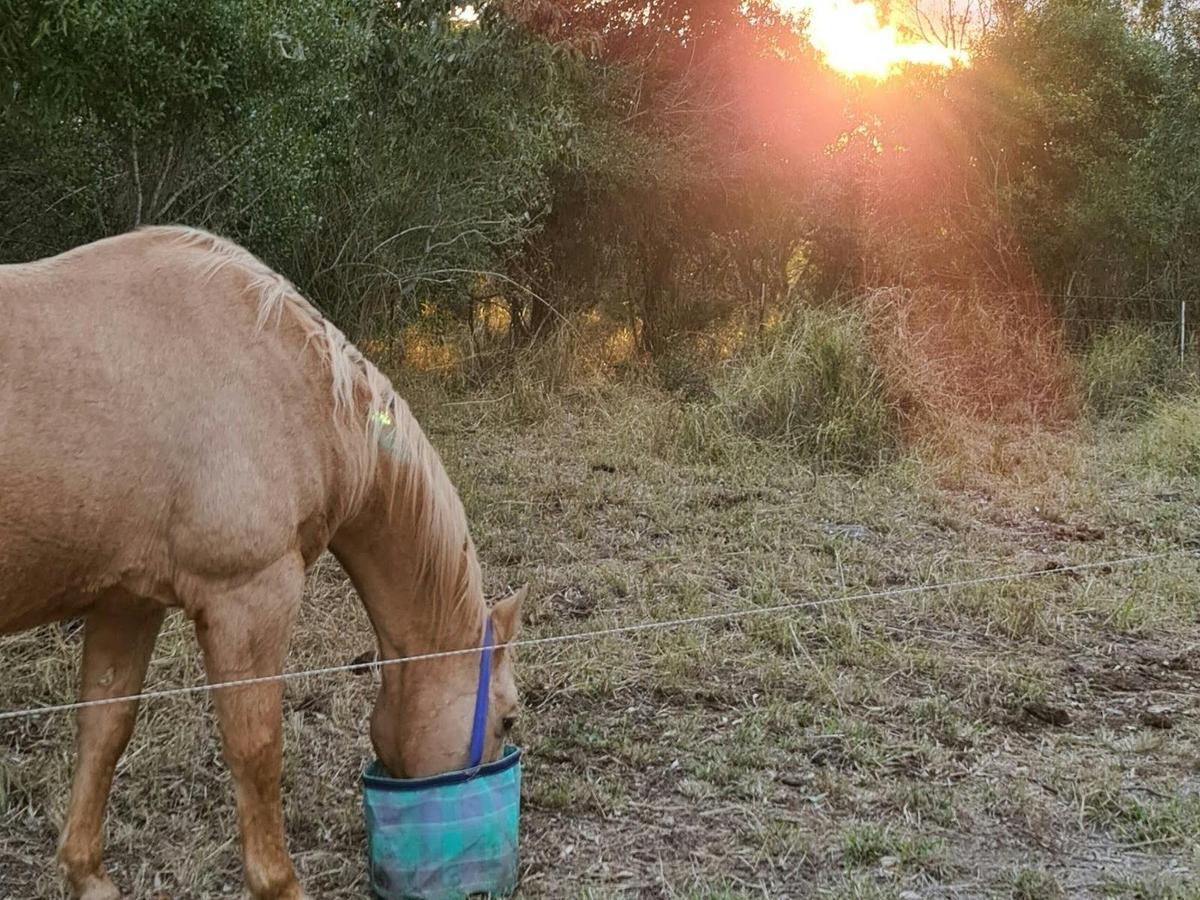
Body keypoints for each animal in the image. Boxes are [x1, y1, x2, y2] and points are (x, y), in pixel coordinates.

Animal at [0, 226, 525, 900]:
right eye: (507, 719)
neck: (286, 376)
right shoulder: (249, 599)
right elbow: (256, 748)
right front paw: (279, 883)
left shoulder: (127, 603)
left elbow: (104, 729)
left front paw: (87, 874)